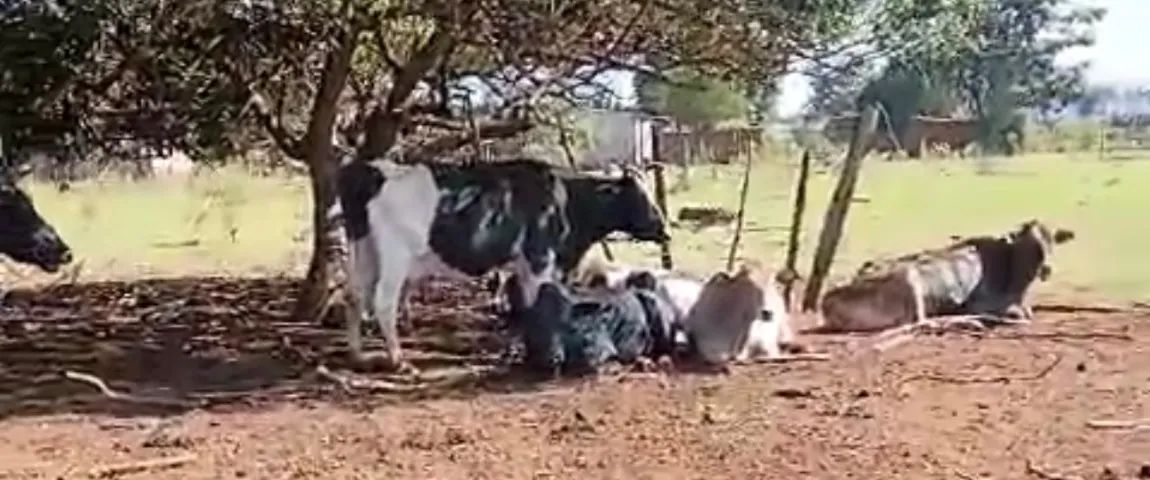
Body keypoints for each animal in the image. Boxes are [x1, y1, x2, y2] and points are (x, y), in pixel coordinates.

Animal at [337, 156, 669, 372]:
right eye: (639, 196)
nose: (664, 229)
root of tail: (373, 170)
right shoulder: (540, 261)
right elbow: (536, 307)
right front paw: (534, 357)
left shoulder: (523, 267)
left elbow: (519, 308)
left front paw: (514, 350)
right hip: (395, 255)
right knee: (383, 302)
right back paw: (399, 360)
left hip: (363, 249)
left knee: (353, 295)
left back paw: (356, 355)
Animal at [818, 219, 1075, 336]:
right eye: (1030, 246)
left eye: (1051, 242)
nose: (1046, 269)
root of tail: (826, 301)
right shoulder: (981, 302)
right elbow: (1019, 314)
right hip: (909, 277)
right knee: (920, 323)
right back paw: (971, 322)